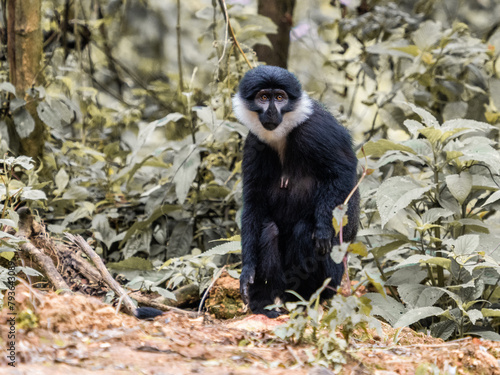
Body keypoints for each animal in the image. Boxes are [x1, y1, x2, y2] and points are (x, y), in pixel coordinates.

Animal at [232, 64, 358, 318]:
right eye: (263, 98)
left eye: (280, 98)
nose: (271, 112)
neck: (283, 134)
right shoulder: (254, 143)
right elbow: (253, 202)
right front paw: (247, 272)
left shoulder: (315, 131)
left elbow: (343, 173)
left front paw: (323, 229)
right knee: (269, 230)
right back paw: (265, 305)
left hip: (333, 278)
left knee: (304, 231)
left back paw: (302, 301)